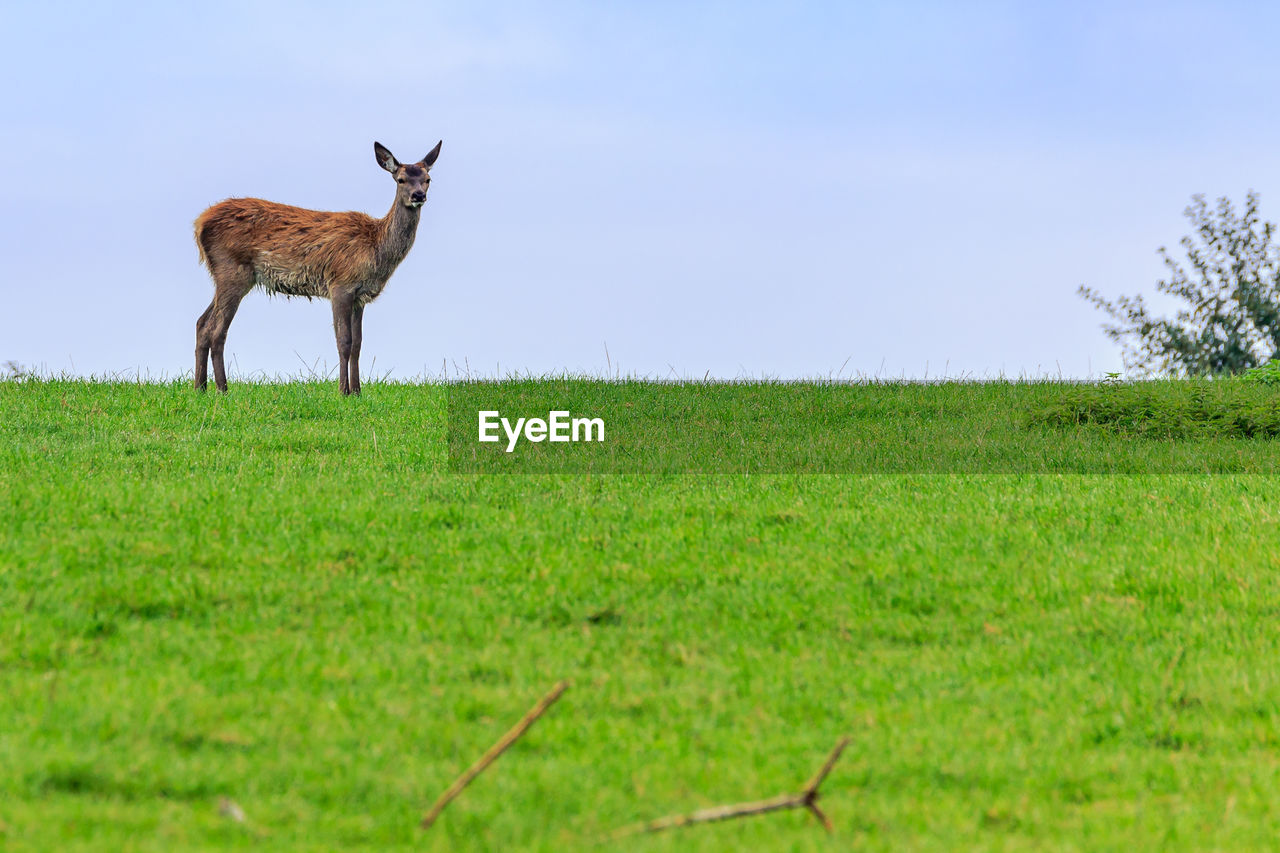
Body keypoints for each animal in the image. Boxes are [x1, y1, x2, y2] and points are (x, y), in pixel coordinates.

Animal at [192, 137, 442, 394]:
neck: (375, 249)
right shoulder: (340, 284)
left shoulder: (360, 296)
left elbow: (358, 344)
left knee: (202, 322)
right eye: (400, 179)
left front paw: (358, 391)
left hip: (227, 276)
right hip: (233, 270)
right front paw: (343, 391)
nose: (418, 195)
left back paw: (200, 388)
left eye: (428, 179)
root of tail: (199, 224)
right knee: (217, 329)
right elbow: (344, 341)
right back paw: (222, 389)